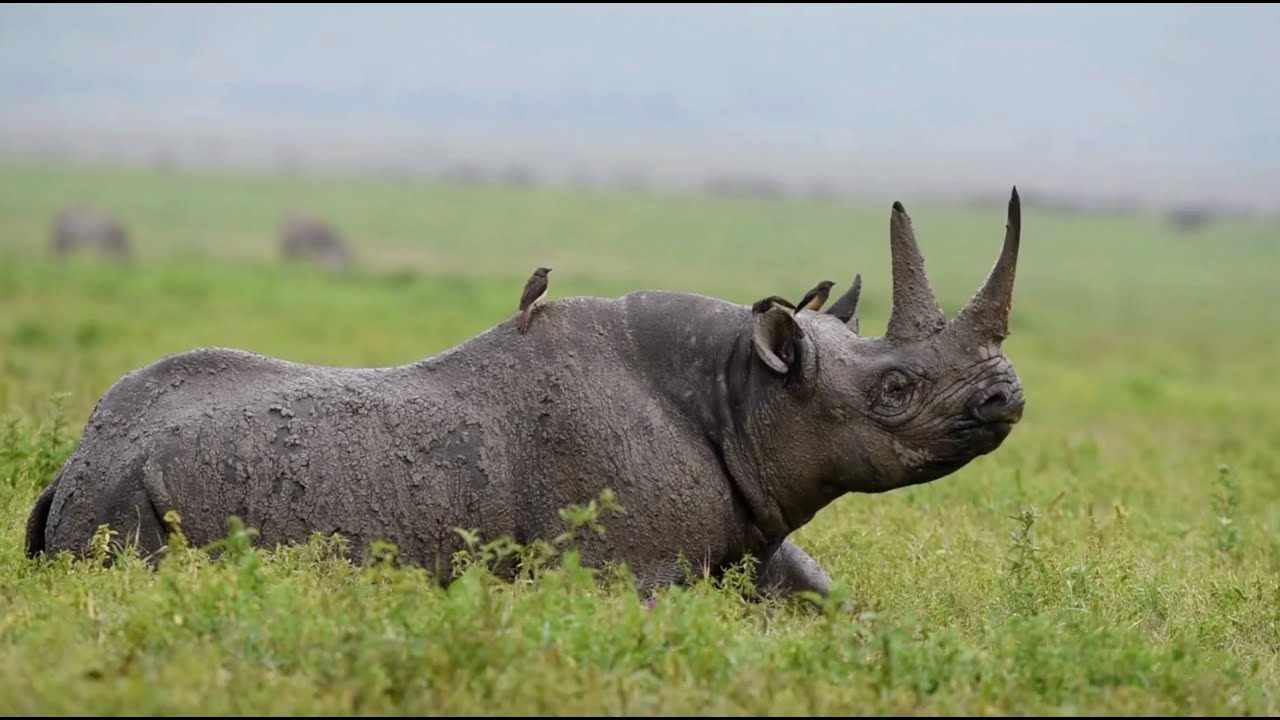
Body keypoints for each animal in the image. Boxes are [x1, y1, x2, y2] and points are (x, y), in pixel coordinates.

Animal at [26, 188, 1027, 601]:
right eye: (895, 388)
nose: (1006, 398)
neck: (744, 394)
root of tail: (77, 462)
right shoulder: (627, 571)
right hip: (121, 500)